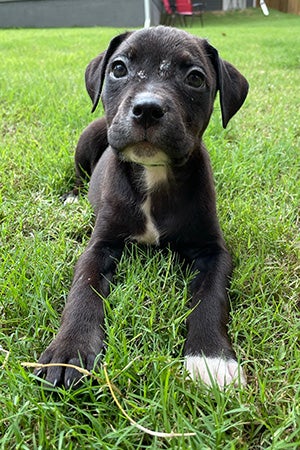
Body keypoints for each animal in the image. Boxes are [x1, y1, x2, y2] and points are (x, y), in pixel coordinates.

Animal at [36, 26, 248, 388]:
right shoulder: (100, 246)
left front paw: (211, 358)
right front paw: (69, 350)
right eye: (119, 69)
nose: (147, 108)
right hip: (89, 136)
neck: (153, 174)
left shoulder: (214, 252)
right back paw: (73, 196)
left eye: (195, 78)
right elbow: (83, 289)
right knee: (77, 174)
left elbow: (211, 296)